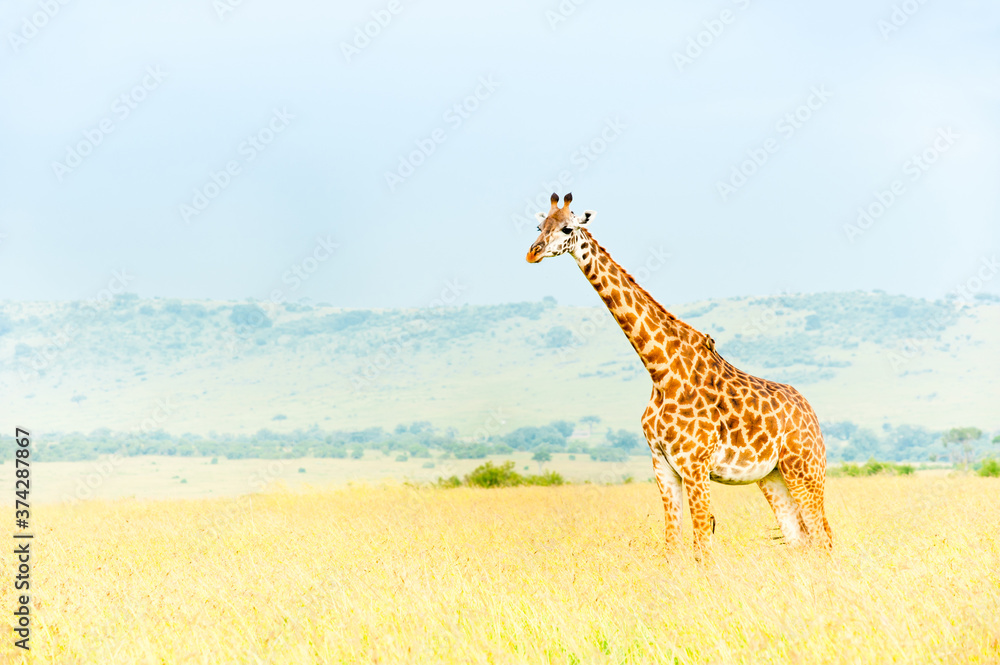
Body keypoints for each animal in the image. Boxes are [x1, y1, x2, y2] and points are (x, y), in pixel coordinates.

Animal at [526, 193, 832, 558]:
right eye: (539, 226)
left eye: (567, 228)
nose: (533, 252)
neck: (659, 369)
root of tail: (811, 412)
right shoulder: (662, 466)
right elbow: (672, 544)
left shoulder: (695, 466)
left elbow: (702, 546)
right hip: (772, 476)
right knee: (801, 538)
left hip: (805, 468)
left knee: (824, 536)